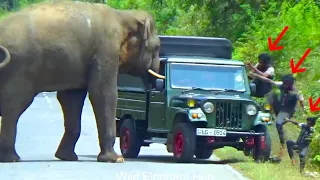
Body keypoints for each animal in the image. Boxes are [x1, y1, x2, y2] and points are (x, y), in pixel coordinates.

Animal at [0, 0, 162, 163]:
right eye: (157, 47)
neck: (123, 16)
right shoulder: (106, 50)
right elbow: (103, 94)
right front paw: (115, 159)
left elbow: (71, 99)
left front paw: (67, 157)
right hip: (19, 67)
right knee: (14, 106)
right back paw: (11, 158)